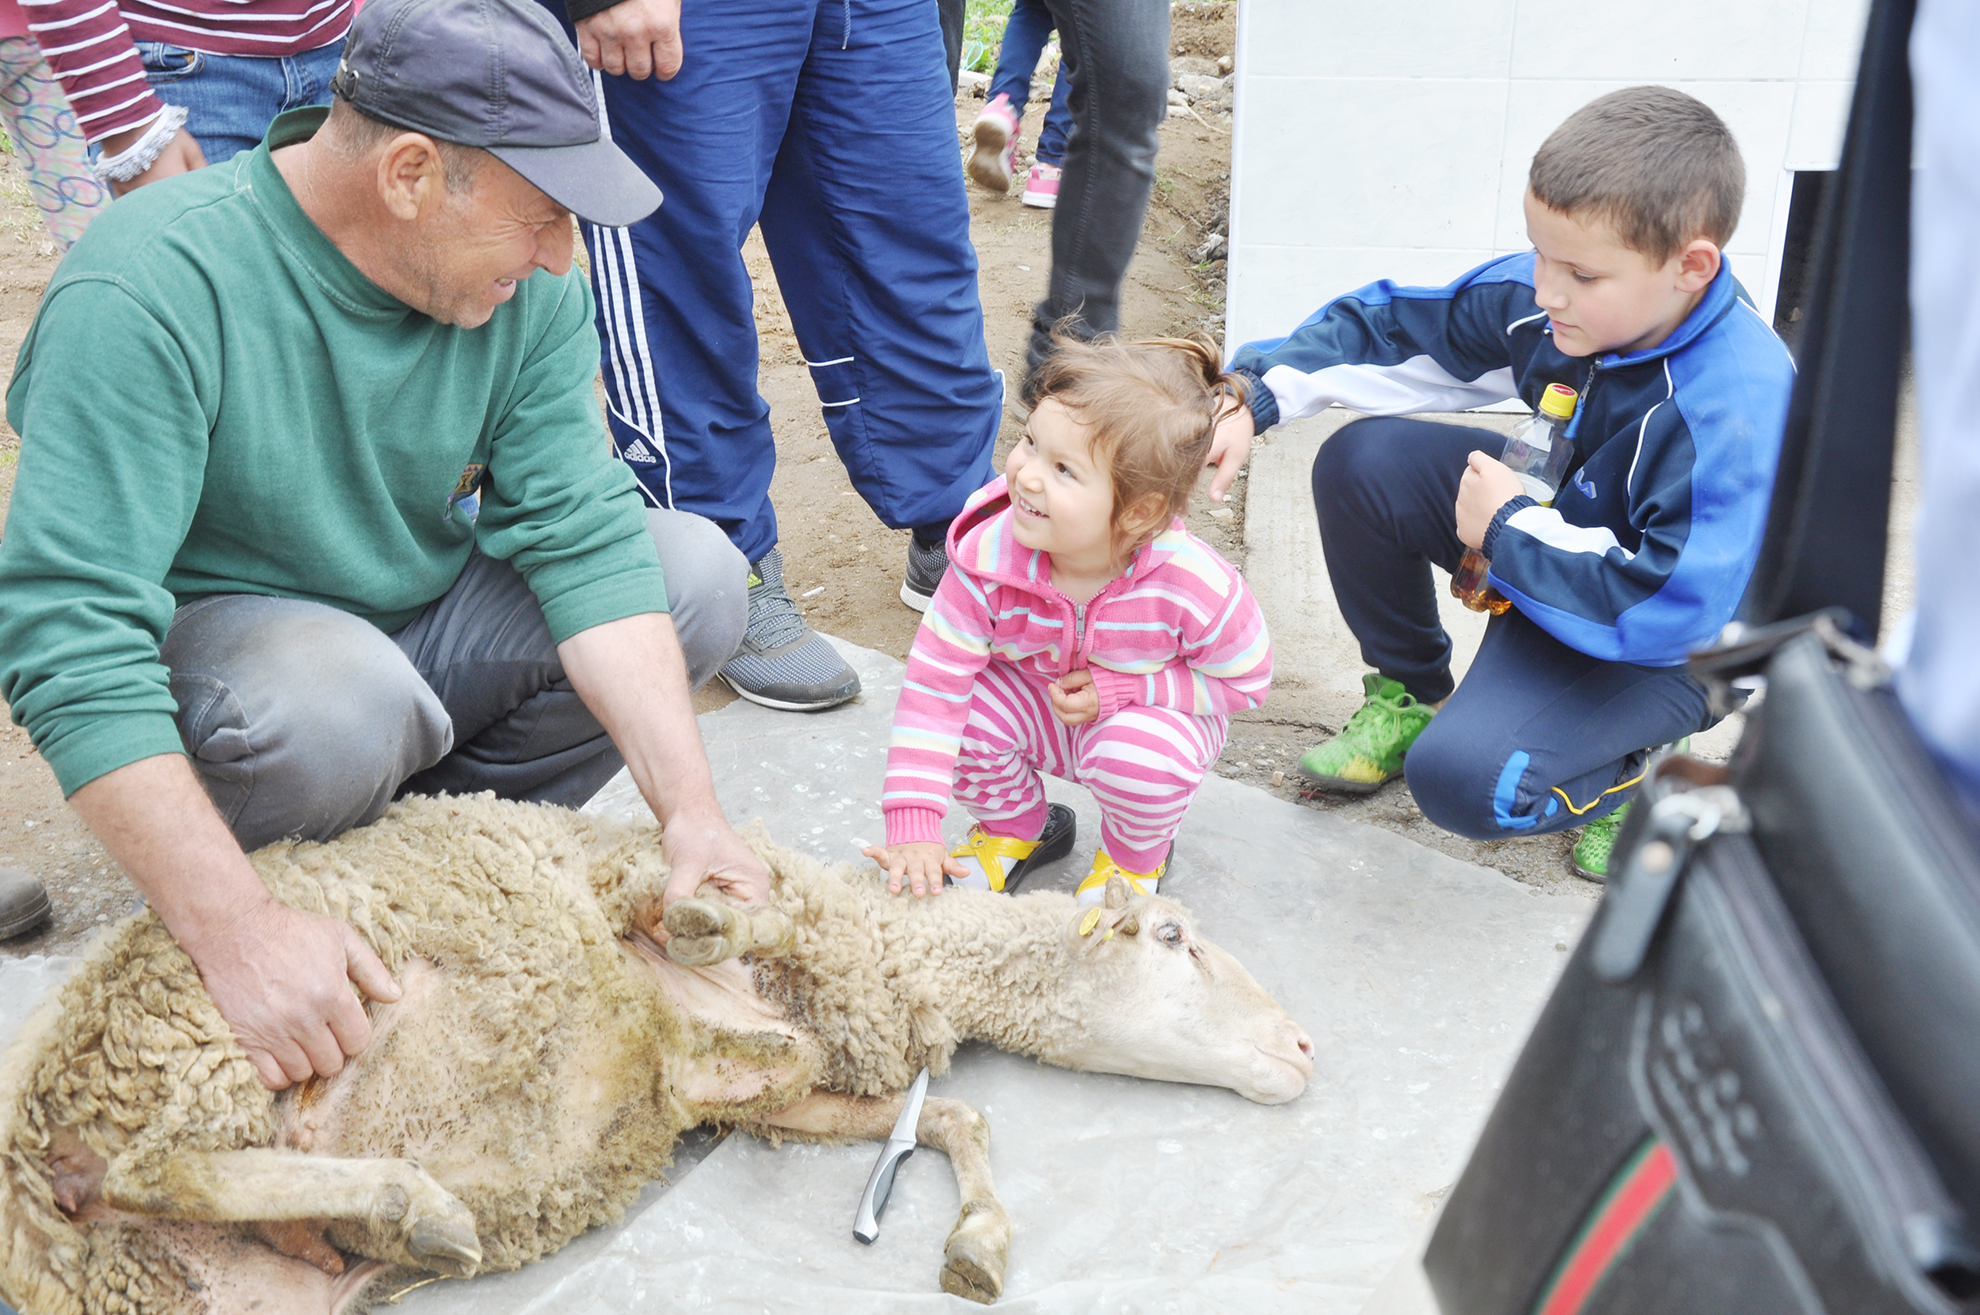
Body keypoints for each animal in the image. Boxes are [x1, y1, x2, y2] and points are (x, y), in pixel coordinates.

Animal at [0, 792, 1314, 1315]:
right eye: (1177, 939)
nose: (1306, 1041)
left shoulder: (788, 1094)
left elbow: (943, 1115)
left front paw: (980, 1242)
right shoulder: (648, 899)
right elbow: (702, 946)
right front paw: (705, 949)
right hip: (219, 1033)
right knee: (156, 1165)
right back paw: (411, 1204)